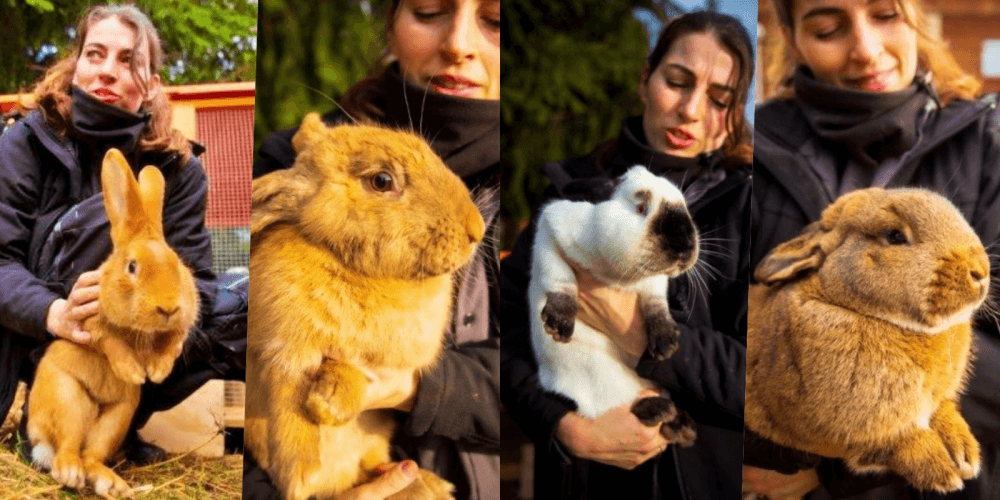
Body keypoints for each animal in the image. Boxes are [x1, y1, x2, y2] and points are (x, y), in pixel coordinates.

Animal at [532, 165, 704, 446]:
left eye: (686, 210)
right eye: (641, 208)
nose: (684, 245)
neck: (612, 272)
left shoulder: (654, 282)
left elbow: (657, 304)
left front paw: (666, 344)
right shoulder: (549, 233)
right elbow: (561, 278)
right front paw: (558, 326)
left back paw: (681, 425)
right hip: (596, 377)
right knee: (605, 407)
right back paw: (659, 411)